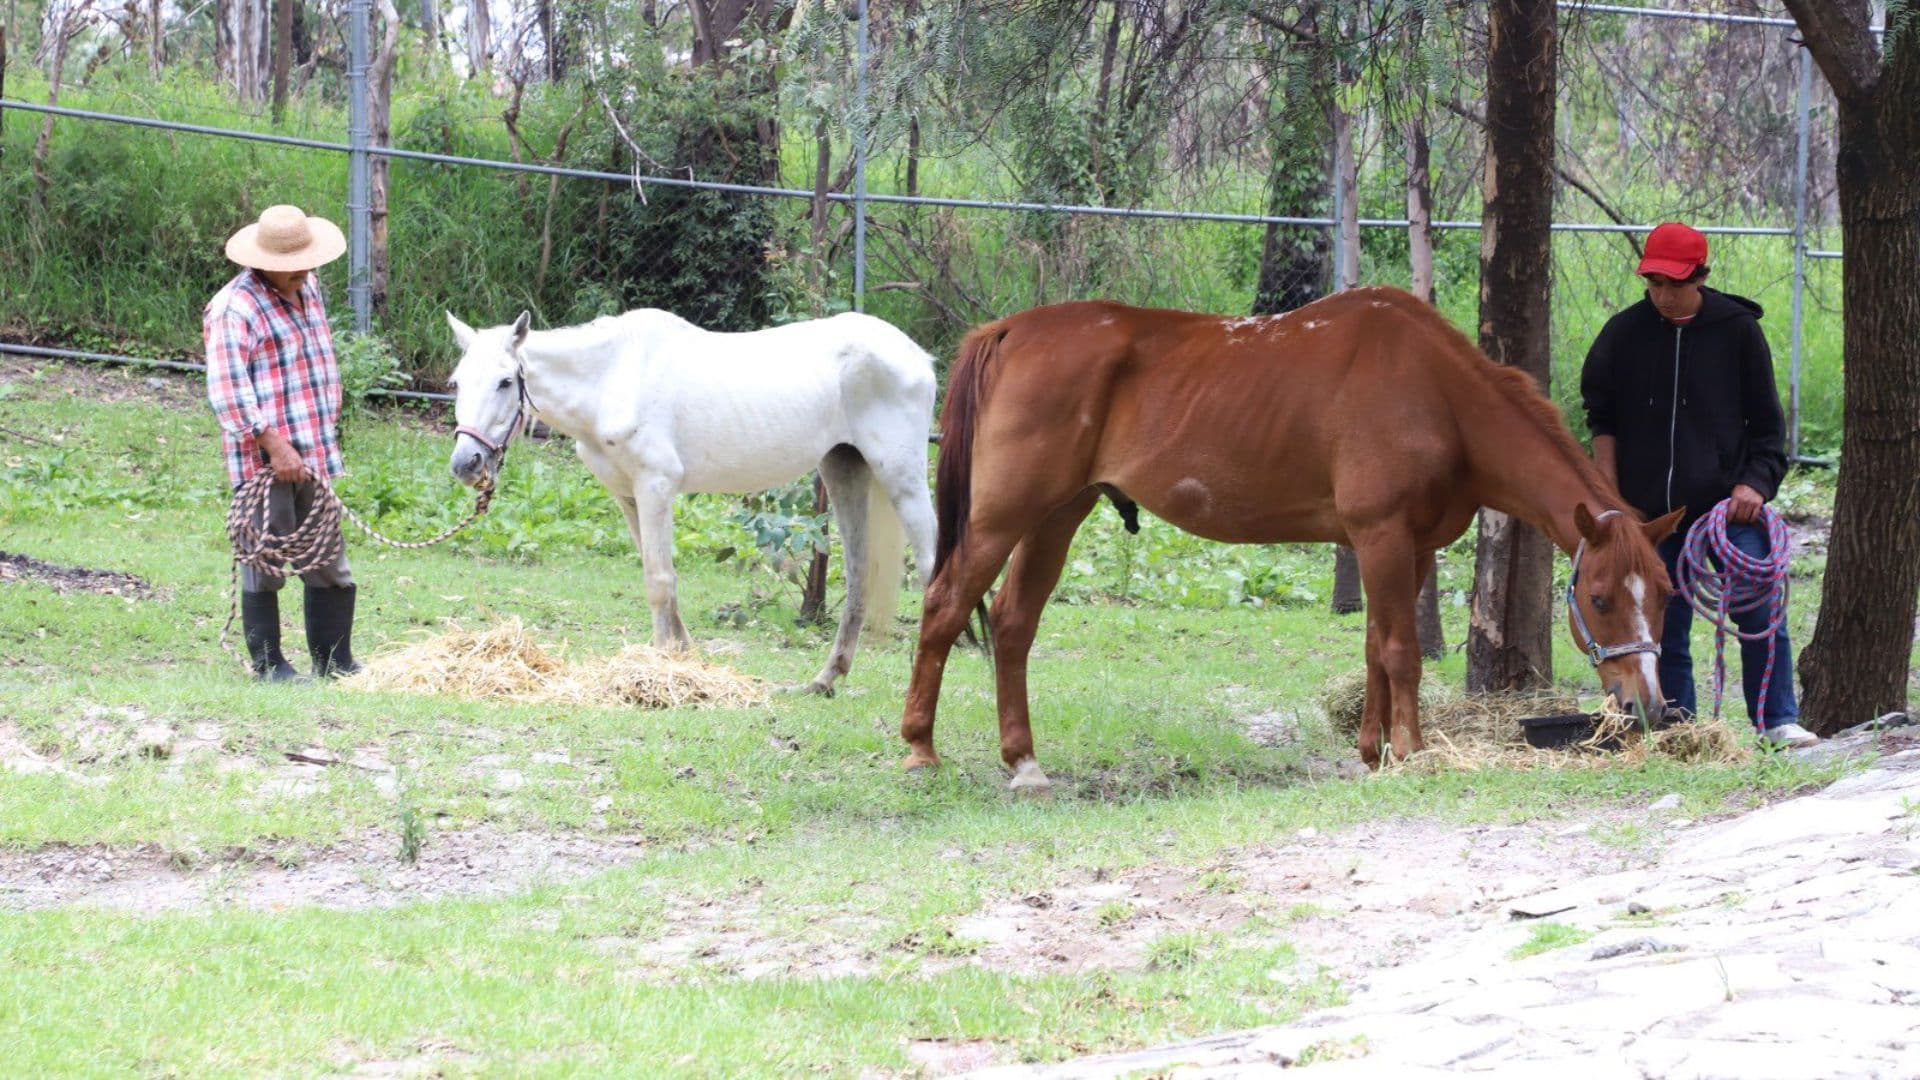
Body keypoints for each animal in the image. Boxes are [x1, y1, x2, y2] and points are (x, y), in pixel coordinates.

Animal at [444, 308, 939, 694]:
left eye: (505, 382)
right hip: (843, 469)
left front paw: (663, 664)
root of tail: (919, 356)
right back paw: (825, 679)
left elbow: (659, 580)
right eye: (456, 383)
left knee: (932, 565)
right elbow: (659, 574)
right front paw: (681, 654)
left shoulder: (655, 487)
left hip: (902, 478)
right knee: (858, 574)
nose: (467, 463)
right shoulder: (628, 495)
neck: (611, 378)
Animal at [903, 287, 1685, 789]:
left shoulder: (1409, 547)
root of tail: (1009, 331)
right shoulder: (1380, 536)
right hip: (1004, 517)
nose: (1646, 706)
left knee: (1012, 624)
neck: (1436, 392)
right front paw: (1411, 751)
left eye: (1666, 595)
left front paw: (1373, 751)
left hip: (1056, 516)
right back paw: (920, 752)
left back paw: (1024, 762)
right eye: (1601, 597)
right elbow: (1401, 653)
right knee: (944, 607)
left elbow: (1375, 648)